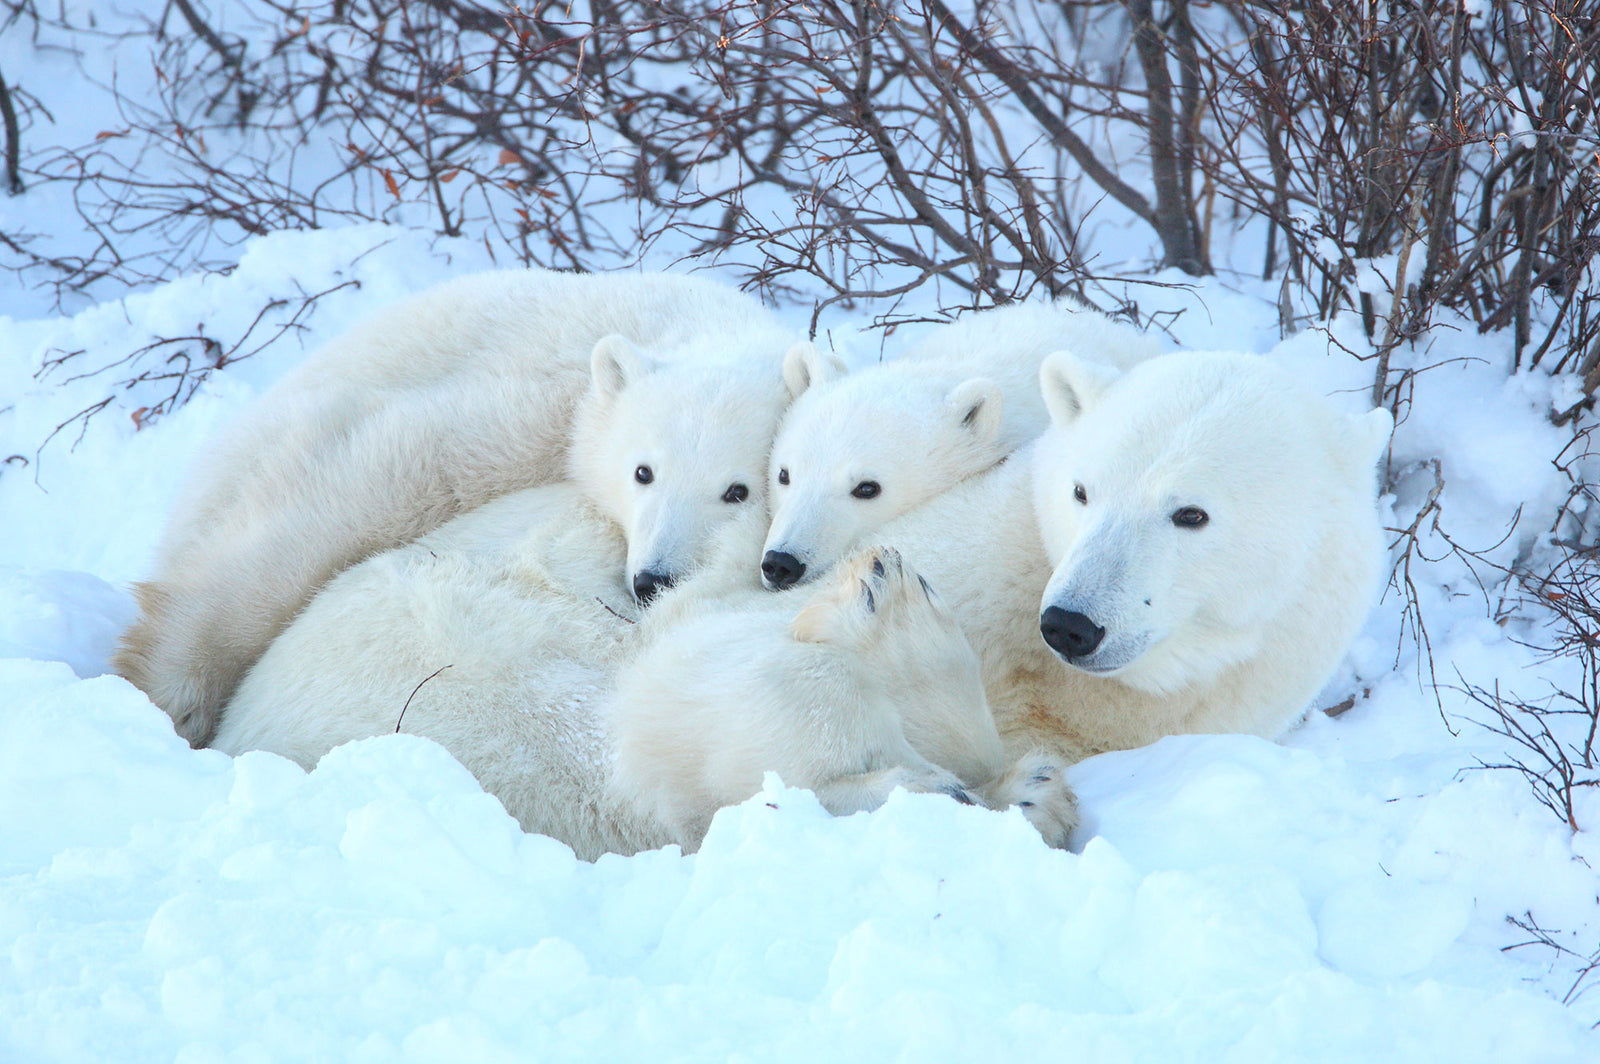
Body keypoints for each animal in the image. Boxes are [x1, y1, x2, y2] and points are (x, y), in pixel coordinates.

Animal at [115, 269, 801, 749]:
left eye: (738, 490)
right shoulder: (522, 407)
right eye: (644, 471)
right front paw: (171, 684)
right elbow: (369, 483)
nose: (653, 579)